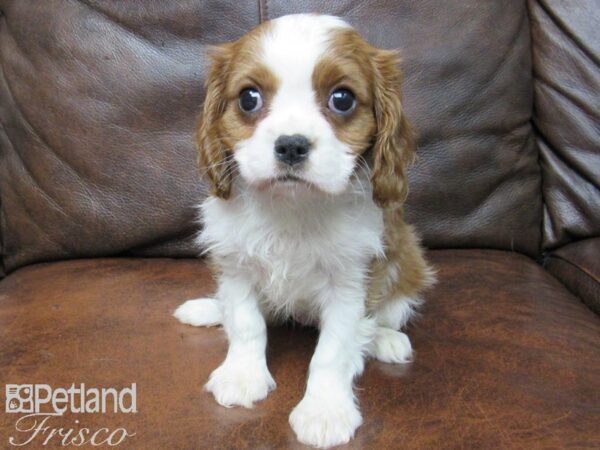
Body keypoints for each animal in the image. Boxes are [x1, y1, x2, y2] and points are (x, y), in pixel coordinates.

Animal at [172, 13, 432, 446]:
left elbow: (333, 350)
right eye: (249, 98)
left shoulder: (351, 282)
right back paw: (209, 309)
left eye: (342, 99)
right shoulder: (235, 265)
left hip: (408, 262)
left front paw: (324, 411)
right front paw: (242, 375)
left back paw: (384, 339)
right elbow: (246, 323)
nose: (291, 145)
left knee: (385, 314)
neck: (292, 207)